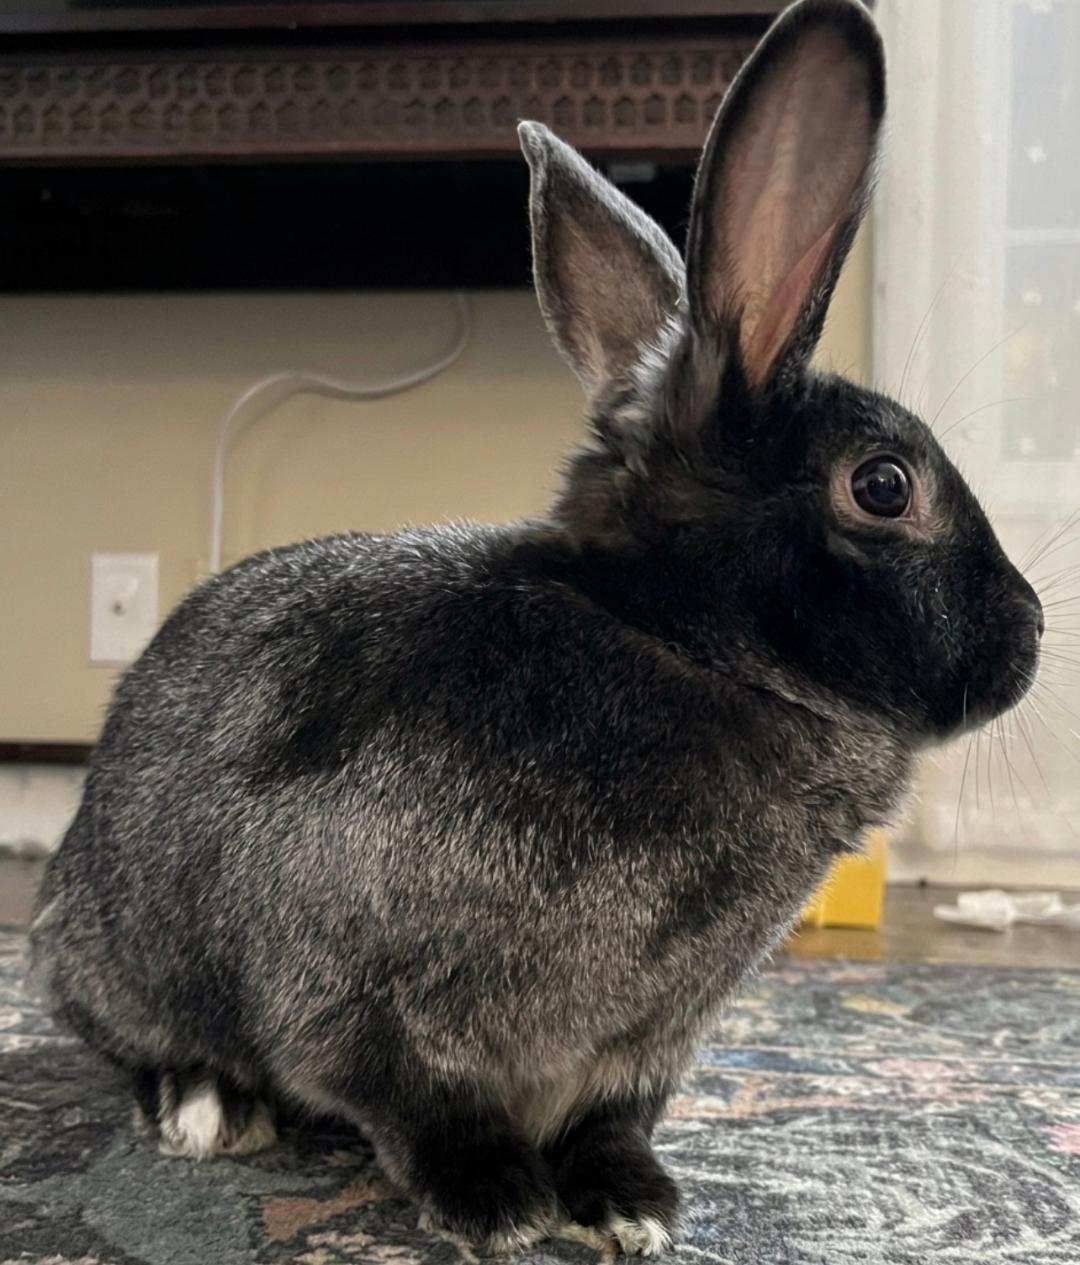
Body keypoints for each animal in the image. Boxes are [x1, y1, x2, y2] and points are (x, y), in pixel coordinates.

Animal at [31, 0, 1043, 1256]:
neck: (681, 643)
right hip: (122, 954)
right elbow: (417, 1105)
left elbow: (611, 1121)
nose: (1030, 638)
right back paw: (206, 1106)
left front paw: (630, 1205)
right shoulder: (357, 996)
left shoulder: (650, 1042)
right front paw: (501, 1203)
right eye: (886, 487)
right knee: (129, 1033)